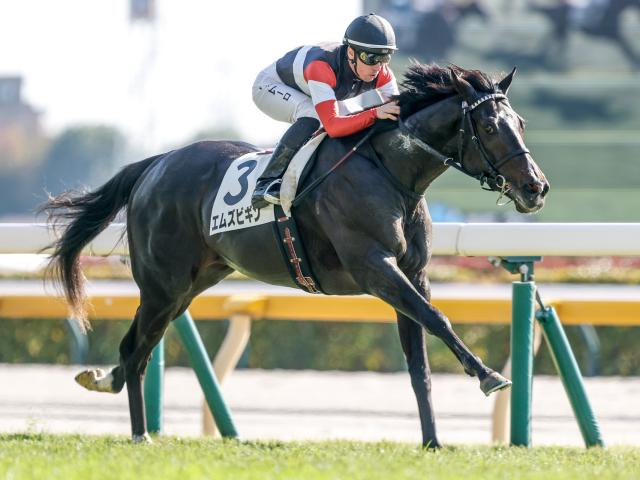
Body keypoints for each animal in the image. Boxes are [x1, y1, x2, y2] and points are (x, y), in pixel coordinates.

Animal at [41, 62, 549, 447]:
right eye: (489, 126)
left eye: (522, 123)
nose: (535, 187)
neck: (391, 172)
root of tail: (155, 165)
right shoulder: (375, 269)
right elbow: (439, 320)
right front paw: (487, 375)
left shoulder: (413, 274)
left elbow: (419, 362)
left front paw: (432, 442)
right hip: (162, 286)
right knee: (136, 350)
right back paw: (139, 432)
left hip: (191, 284)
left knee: (139, 349)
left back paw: (113, 394)